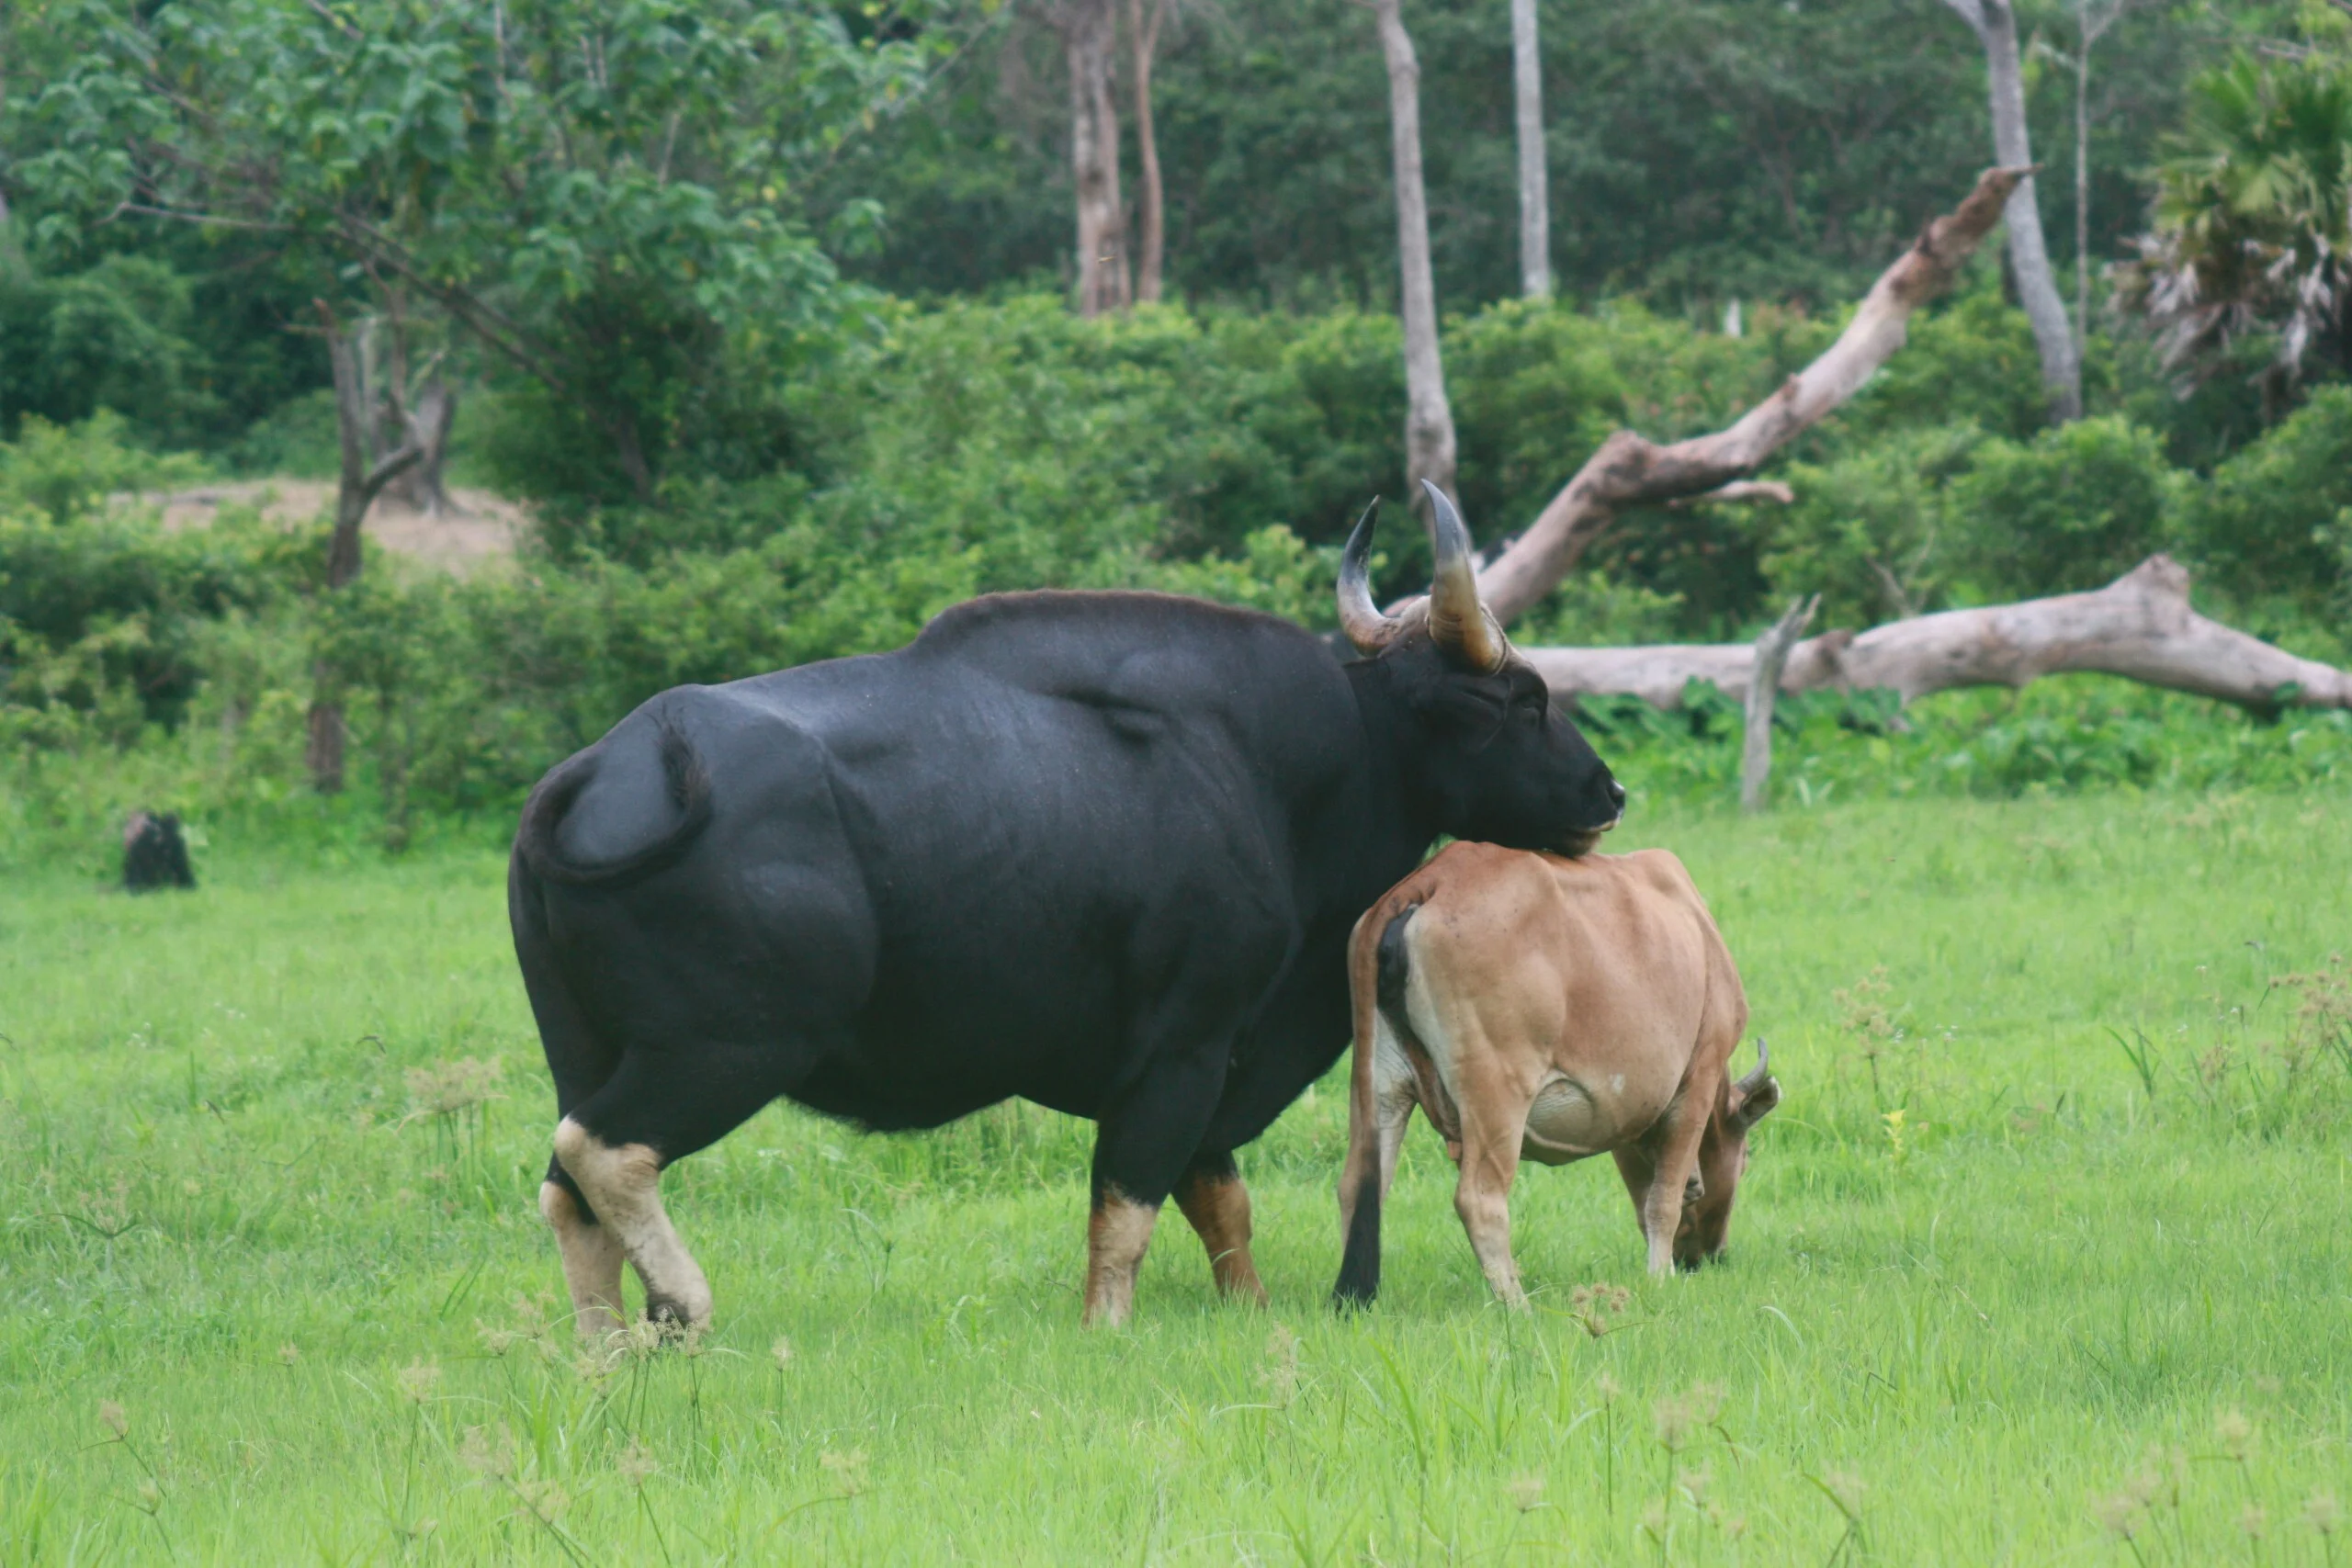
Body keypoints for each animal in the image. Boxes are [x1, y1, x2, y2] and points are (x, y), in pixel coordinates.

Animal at [513, 481, 1618, 1335]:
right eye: (1519, 699)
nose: (1606, 793)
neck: (1279, 768)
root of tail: (599, 773)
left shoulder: (1215, 1062)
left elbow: (1222, 1205)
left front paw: (1250, 1313)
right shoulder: (1181, 1049)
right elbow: (1127, 1208)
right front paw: (1108, 1327)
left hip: (585, 1046)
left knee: (568, 1195)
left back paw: (605, 1349)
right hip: (728, 1046)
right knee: (603, 1151)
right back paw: (683, 1304)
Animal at [1336, 841, 1769, 1306]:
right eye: (1745, 1158)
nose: (1709, 1257)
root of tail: (1432, 878)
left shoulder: (1628, 1114)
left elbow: (1644, 1198)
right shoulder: (1698, 1076)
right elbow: (1662, 1201)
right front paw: (1660, 1279)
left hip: (1380, 1086)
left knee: (1359, 1187)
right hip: (1496, 1095)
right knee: (1479, 1200)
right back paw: (1518, 1306)